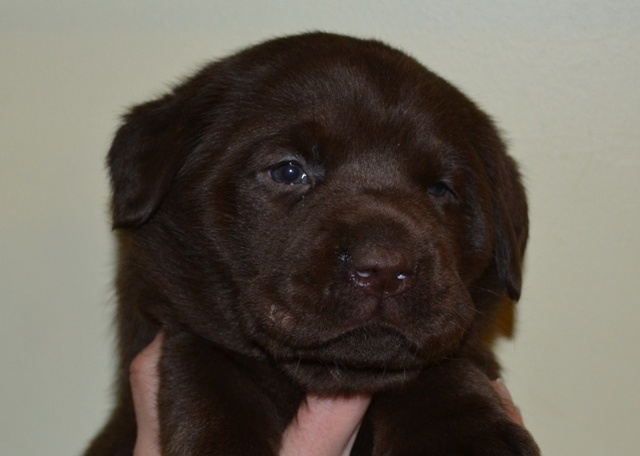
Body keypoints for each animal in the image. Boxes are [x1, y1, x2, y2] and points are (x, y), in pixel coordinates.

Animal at [85, 32, 539, 455]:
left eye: (441, 189)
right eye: (288, 171)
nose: (385, 268)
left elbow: (445, 365)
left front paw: (464, 434)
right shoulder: (185, 335)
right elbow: (206, 376)